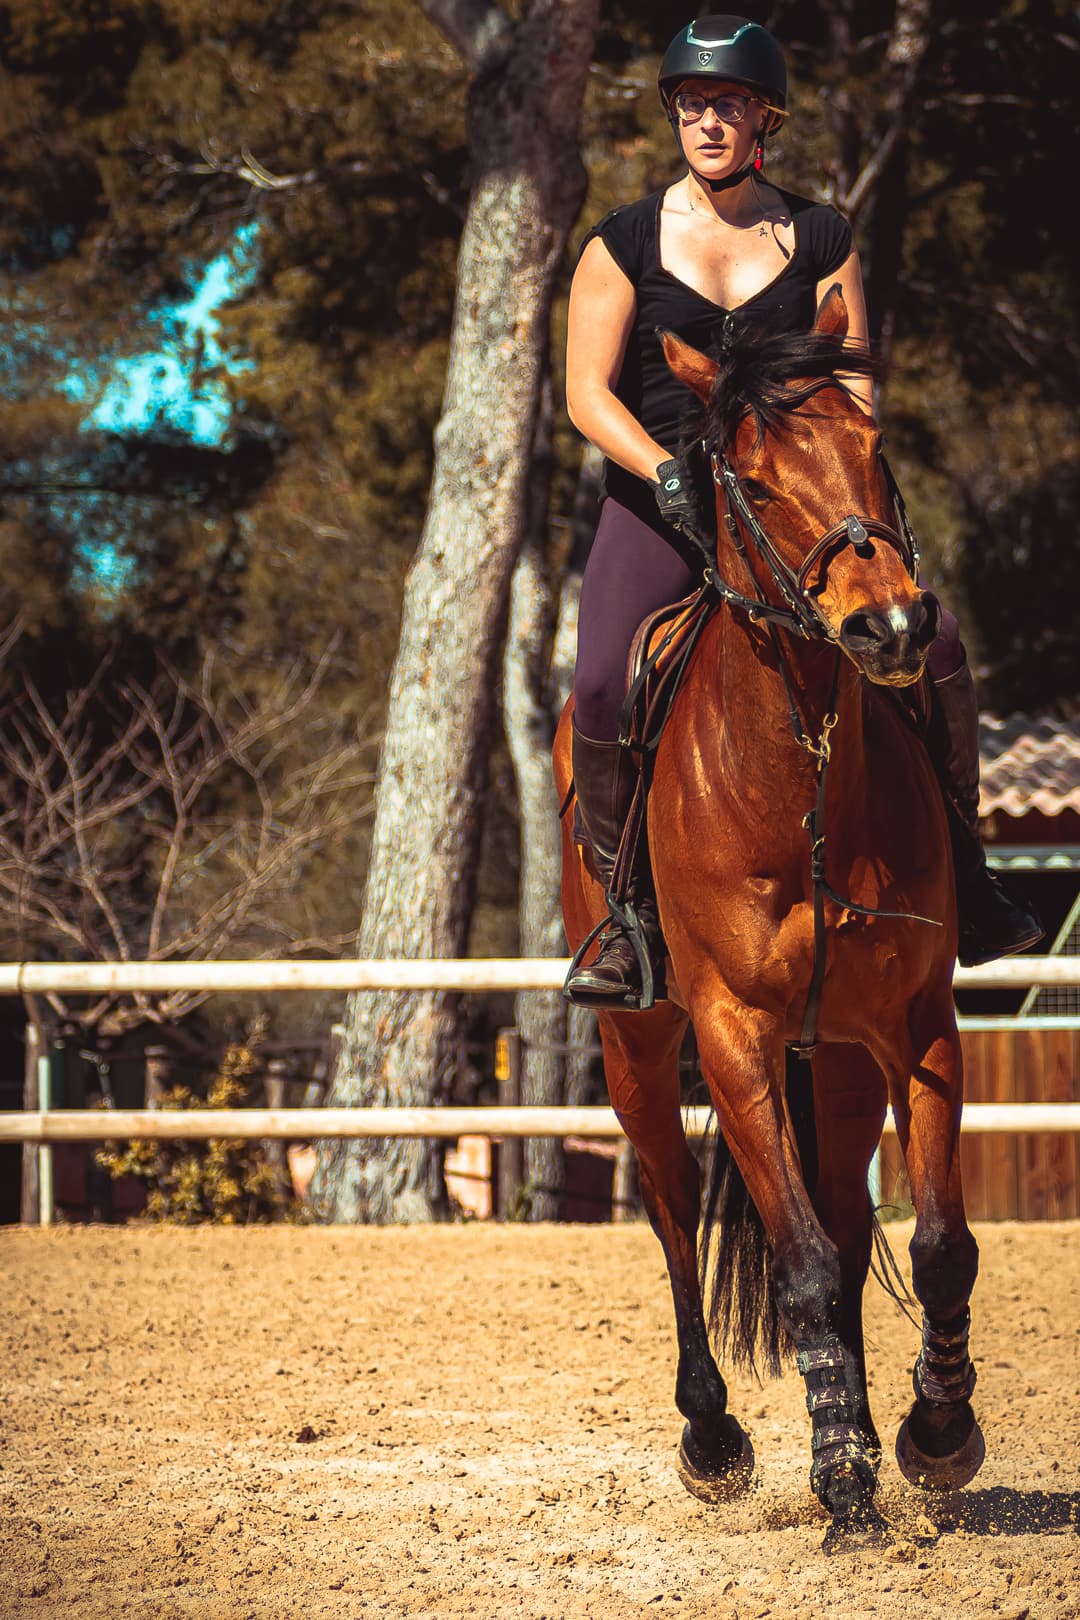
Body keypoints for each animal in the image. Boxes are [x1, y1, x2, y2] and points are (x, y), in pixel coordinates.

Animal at [554, 288, 984, 1550]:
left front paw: (933, 1436)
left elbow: (935, 1244)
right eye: (748, 474)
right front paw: (842, 1481)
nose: (893, 627)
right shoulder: (735, 1034)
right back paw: (714, 1437)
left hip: (833, 1057)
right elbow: (790, 1263)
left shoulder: (915, 1025)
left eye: (874, 446)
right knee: (669, 1210)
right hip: (640, 1046)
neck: (800, 765)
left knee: (842, 1228)